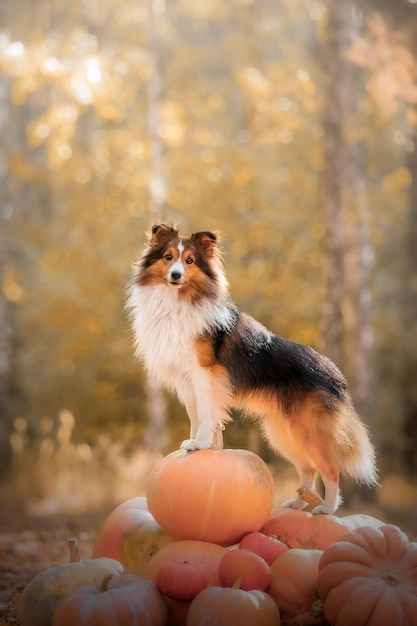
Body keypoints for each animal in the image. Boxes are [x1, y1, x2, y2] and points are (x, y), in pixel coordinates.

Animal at [127, 224, 376, 512]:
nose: (176, 275)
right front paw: (195, 445)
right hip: (283, 434)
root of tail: (335, 374)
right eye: (168, 257)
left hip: (309, 432)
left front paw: (201, 444)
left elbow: (206, 415)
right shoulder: (187, 381)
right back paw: (297, 505)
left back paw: (326, 509)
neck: (178, 301)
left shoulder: (205, 375)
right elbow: (196, 415)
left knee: (331, 468)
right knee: (308, 469)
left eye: (189, 261)